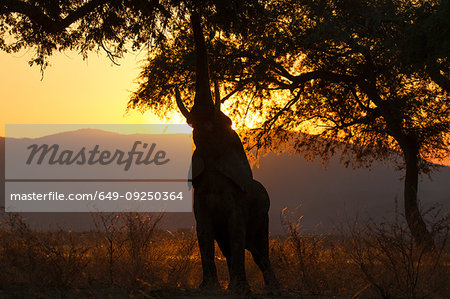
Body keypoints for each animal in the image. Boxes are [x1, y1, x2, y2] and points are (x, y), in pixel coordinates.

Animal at [175, 12, 278, 296]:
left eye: (226, 122)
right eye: (192, 127)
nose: (194, 13)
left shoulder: (238, 198)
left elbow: (236, 229)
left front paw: (239, 290)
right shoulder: (198, 194)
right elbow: (204, 231)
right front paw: (208, 288)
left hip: (264, 215)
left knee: (259, 253)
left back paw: (273, 290)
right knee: (233, 248)